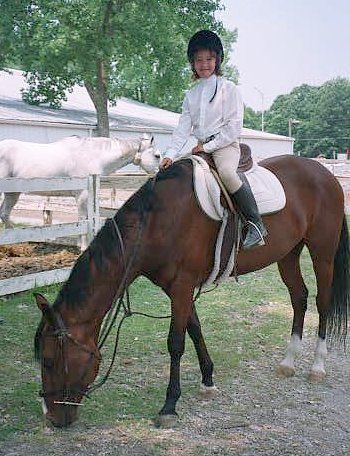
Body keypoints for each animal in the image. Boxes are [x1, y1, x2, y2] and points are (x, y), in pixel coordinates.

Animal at [0, 134, 161, 248]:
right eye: (157, 155)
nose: (159, 174)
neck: (93, 156)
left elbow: (84, 219)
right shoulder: (83, 195)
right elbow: (83, 219)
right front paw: (83, 246)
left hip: (12, 193)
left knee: (4, 214)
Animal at [34, 155, 348, 430]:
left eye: (49, 361)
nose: (51, 417)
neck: (157, 222)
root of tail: (324, 173)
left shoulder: (182, 286)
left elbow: (176, 342)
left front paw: (169, 406)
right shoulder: (179, 289)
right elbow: (195, 329)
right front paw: (208, 381)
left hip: (322, 254)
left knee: (322, 302)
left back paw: (317, 366)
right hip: (289, 254)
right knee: (299, 297)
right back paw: (288, 361)